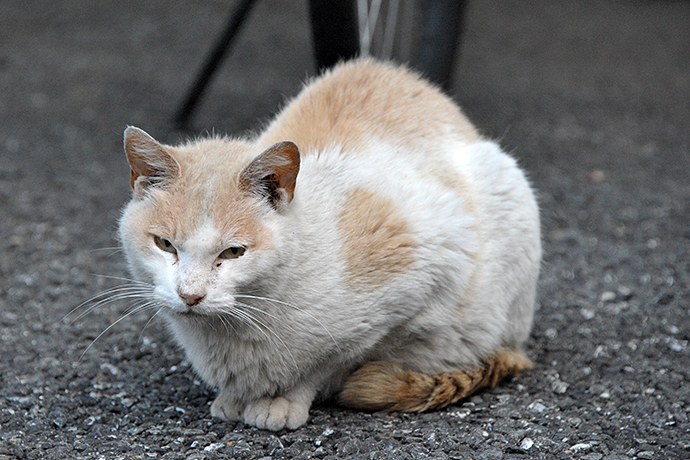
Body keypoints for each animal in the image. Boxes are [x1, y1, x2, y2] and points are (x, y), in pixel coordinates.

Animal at [117, 58, 536, 432]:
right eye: (165, 244)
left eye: (233, 252)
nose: (190, 295)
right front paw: (234, 399)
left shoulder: (426, 267)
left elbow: (327, 363)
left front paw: (283, 400)